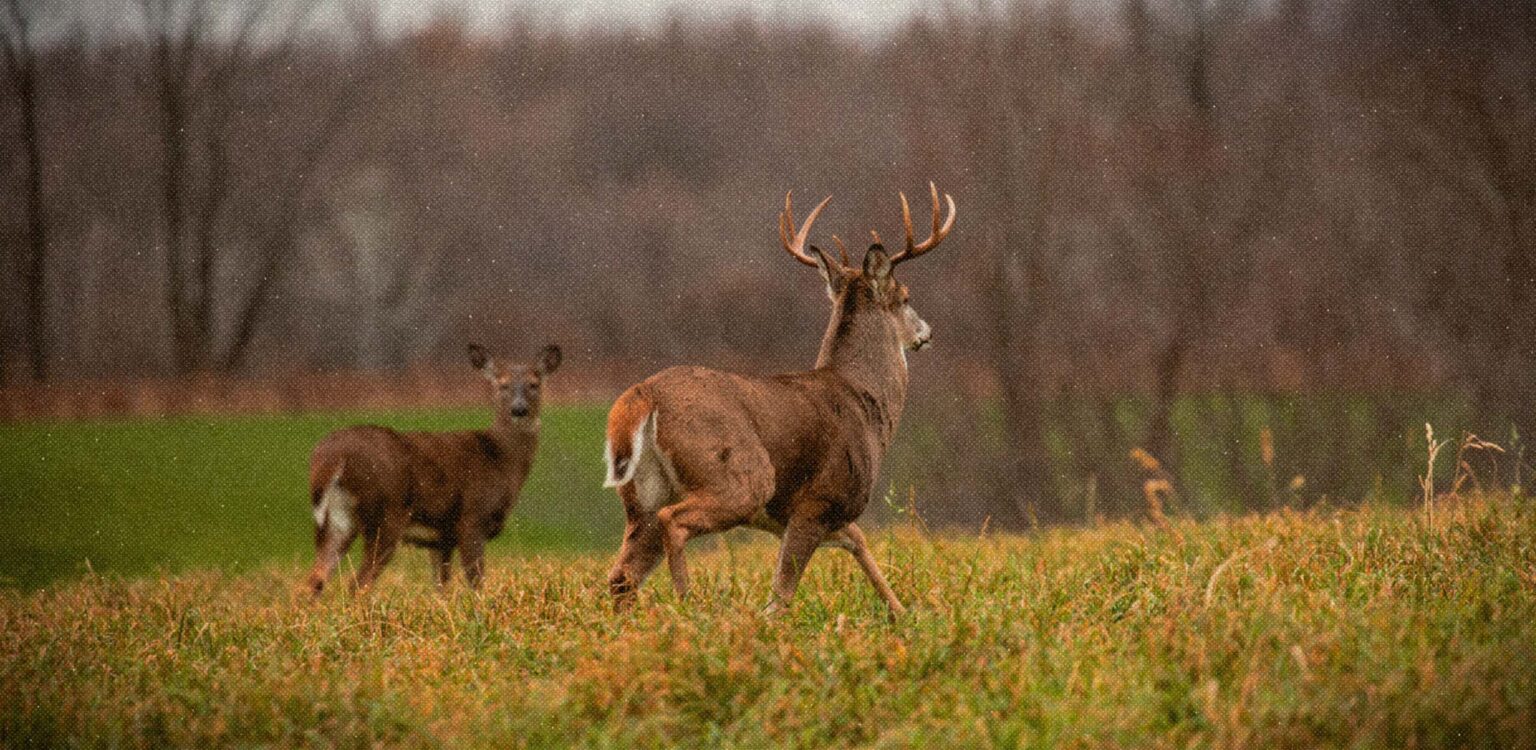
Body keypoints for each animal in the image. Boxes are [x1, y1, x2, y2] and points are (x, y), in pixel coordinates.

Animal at [304, 343, 562, 596]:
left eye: (534, 384)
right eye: (502, 384)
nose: (519, 409)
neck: (499, 459)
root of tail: (330, 456)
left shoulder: (440, 539)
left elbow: (441, 589)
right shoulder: (472, 519)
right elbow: (476, 583)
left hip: (337, 520)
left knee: (316, 578)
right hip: (385, 515)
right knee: (358, 584)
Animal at [602, 182, 956, 618]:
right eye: (905, 297)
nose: (927, 332)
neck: (863, 402)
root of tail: (643, 395)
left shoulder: (830, 516)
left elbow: (861, 545)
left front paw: (904, 614)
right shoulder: (819, 499)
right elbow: (782, 595)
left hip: (642, 497)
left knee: (622, 575)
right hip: (741, 475)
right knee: (674, 524)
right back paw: (690, 606)